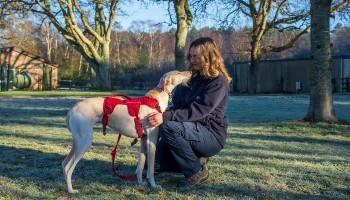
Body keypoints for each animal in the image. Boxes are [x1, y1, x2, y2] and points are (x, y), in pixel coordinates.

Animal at [61, 70, 190, 194]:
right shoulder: (151, 141)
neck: (155, 100)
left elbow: (140, 166)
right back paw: (71, 191)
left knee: (64, 164)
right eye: (178, 72)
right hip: (84, 142)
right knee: (68, 168)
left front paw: (140, 184)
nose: (190, 72)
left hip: (78, 142)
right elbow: (150, 170)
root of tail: (72, 109)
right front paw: (153, 185)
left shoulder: (144, 140)